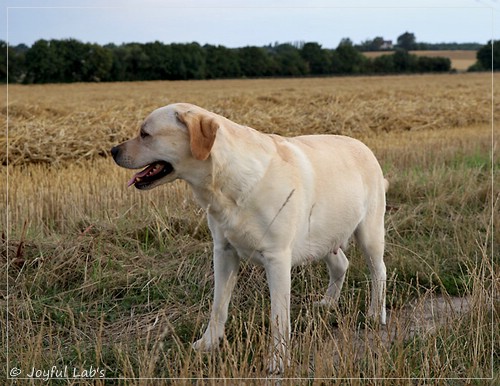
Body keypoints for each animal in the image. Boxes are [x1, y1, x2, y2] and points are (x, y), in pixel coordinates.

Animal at [111, 103, 388, 374]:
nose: (113, 150)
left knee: (379, 272)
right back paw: (328, 303)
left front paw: (278, 360)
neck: (228, 182)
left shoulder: (277, 258)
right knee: (341, 264)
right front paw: (209, 343)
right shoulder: (223, 252)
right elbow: (218, 306)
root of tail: (364, 146)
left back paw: (376, 314)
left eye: (145, 134)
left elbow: (279, 316)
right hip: (322, 237)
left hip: (369, 233)